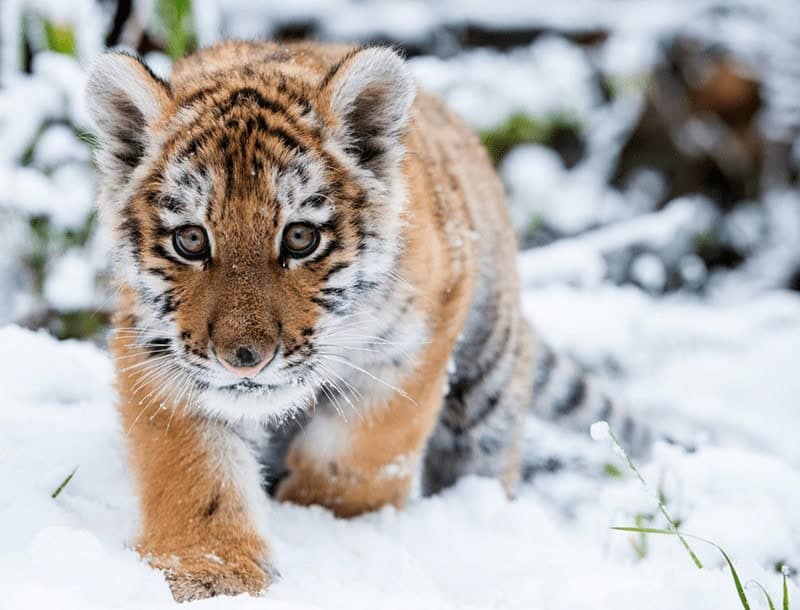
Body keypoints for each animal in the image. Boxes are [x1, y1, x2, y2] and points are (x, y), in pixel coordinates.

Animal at [86, 40, 646, 602]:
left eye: (300, 238)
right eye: (191, 240)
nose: (244, 360)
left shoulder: (414, 345)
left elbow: (356, 457)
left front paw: (321, 520)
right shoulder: (158, 350)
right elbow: (194, 472)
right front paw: (212, 574)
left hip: (488, 386)